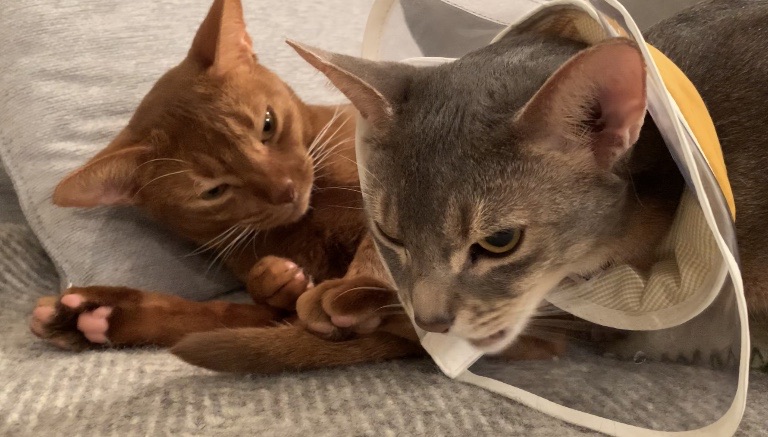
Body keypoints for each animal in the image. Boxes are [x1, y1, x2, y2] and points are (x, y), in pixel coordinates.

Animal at [29, 0, 422, 371]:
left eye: (268, 124)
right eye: (213, 191)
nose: (286, 190)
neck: (309, 225)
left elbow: (380, 247)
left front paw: (351, 288)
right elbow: (230, 313)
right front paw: (275, 281)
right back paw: (91, 315)